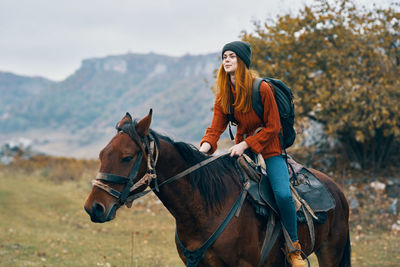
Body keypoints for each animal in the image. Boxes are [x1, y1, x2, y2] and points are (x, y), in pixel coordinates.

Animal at [84, 110, 350, 266]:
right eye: (101, 154)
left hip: (330, 254)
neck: (205, 210)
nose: (93, 207)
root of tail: (336, 190)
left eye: (127, 157)